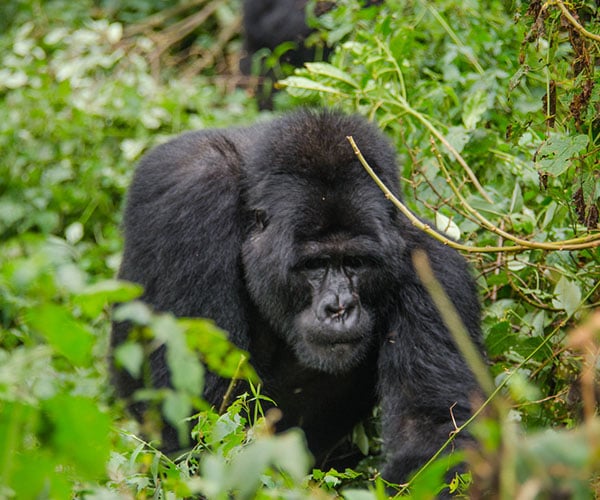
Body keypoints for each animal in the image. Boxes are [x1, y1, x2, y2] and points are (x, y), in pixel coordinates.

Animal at [111, 108, 482, 488]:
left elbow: (432, 431)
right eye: (314, 265)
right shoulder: (190, 201)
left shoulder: (433, 264)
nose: (339, 308)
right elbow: (203, 419)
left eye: (356, 262)